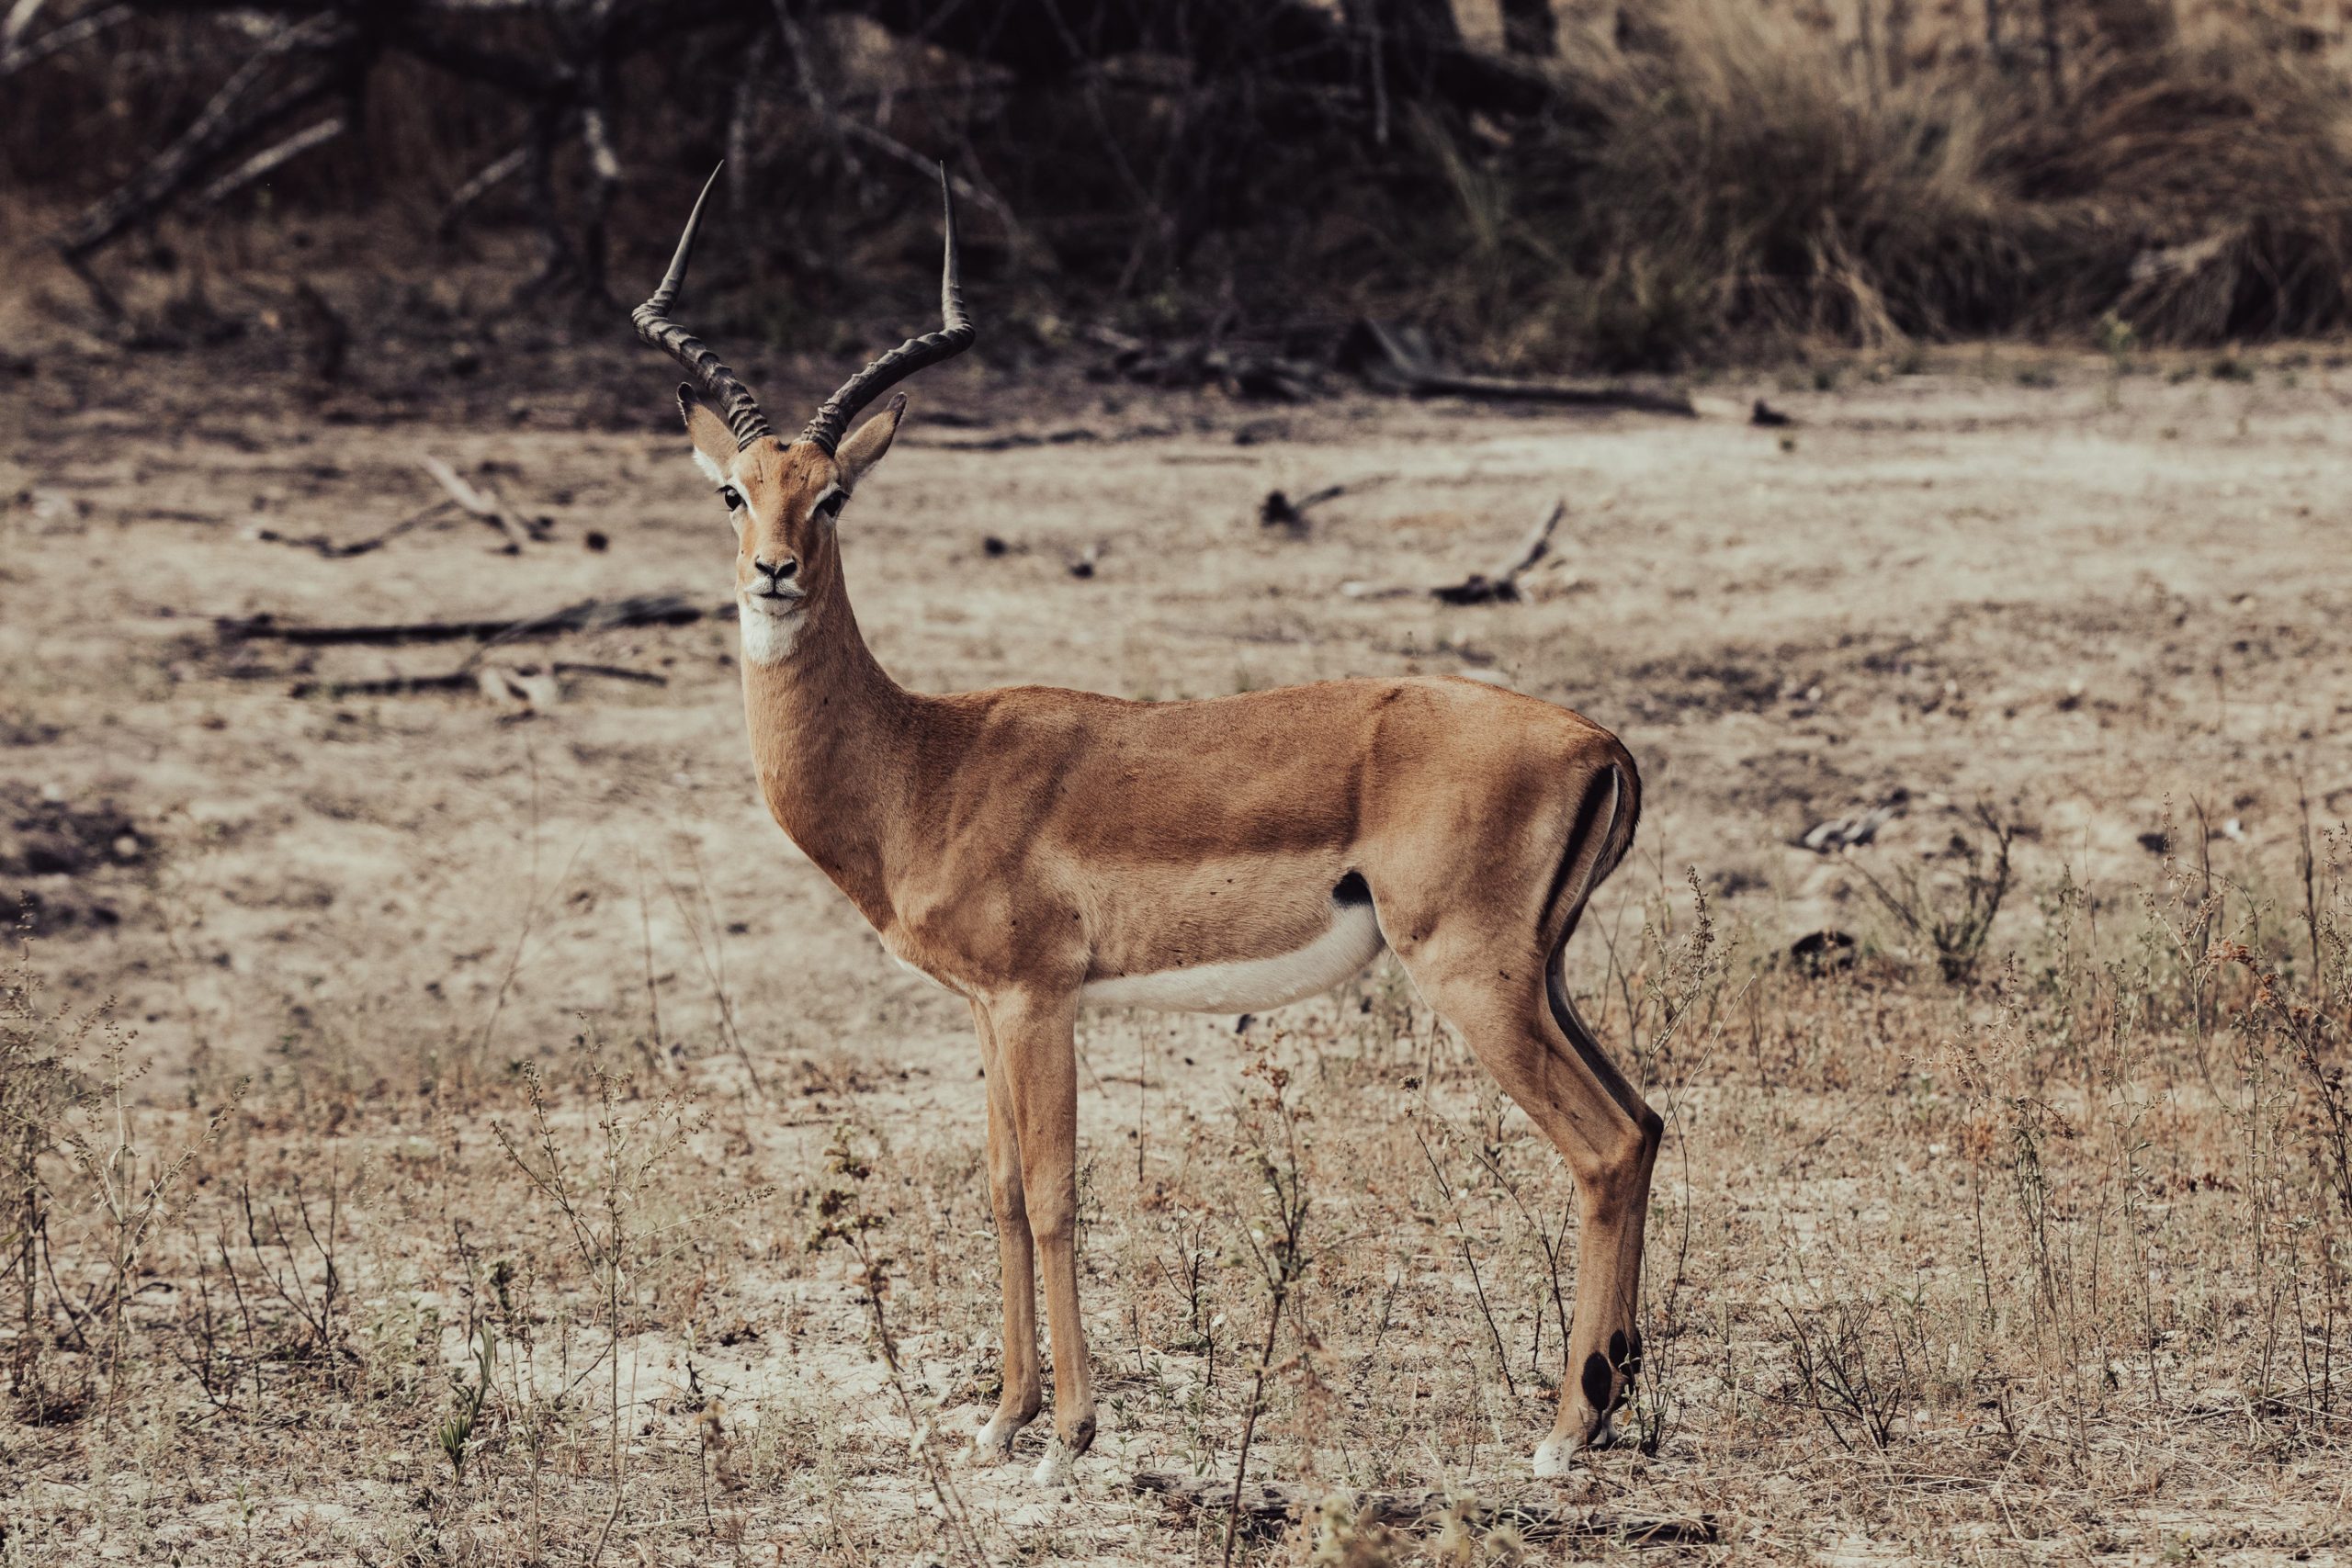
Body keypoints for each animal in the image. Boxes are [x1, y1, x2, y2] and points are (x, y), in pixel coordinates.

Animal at [630, 168, 1662, 1486]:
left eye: (833, 495)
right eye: (733, 490)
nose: (772, 571)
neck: (923, 762)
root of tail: (1598, 741)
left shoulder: (1038, 999)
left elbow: (1056, 1191)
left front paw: (1069, 1431)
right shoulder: (983, 1008)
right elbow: (1000, 1190)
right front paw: (1002, 1415)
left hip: (1473, 976)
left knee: (1601, 1145)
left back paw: (1561, 1433)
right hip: (1547, 977)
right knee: (1646, 1123)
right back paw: (1609, 1403)